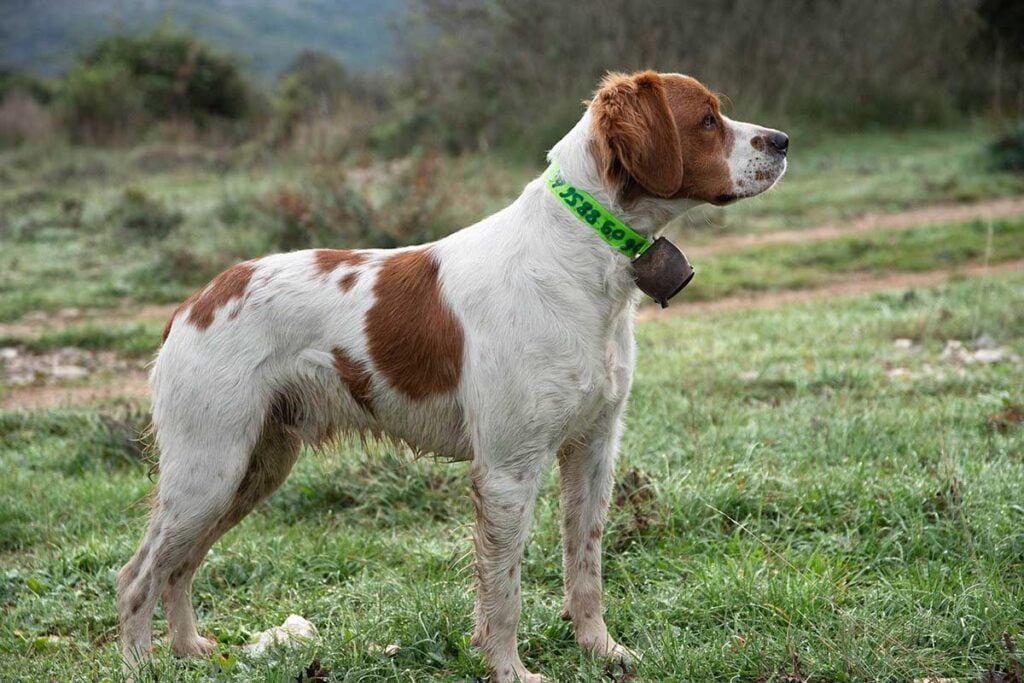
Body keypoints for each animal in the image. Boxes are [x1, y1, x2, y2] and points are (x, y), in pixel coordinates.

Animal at [119, 72, 786, 679]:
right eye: (707, 119)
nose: (782, 140)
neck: (578, 257)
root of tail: (197, 301)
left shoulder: (593, 451)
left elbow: (585, 568)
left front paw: (602, 651)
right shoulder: (507, 470)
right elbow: (504, 590)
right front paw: (510, 671)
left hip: (253, 467)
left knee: (178, 567)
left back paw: (190, 650)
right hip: (209, 468)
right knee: (137, 575)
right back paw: (141, 664)